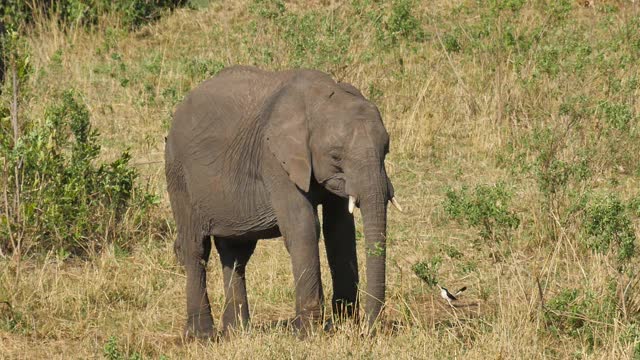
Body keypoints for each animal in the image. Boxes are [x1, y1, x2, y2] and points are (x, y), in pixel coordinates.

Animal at [166, 64, 400, 338]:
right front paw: (308, 333)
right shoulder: (274, 159)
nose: (370, 330)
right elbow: (303, 228)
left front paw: (343, 325)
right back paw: (202, 336)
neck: (319, 99)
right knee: (196, 248)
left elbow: (339, 231)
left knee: (235, 253)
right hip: (178, 175)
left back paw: (238, 332)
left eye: (386, 150)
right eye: (336, 156)